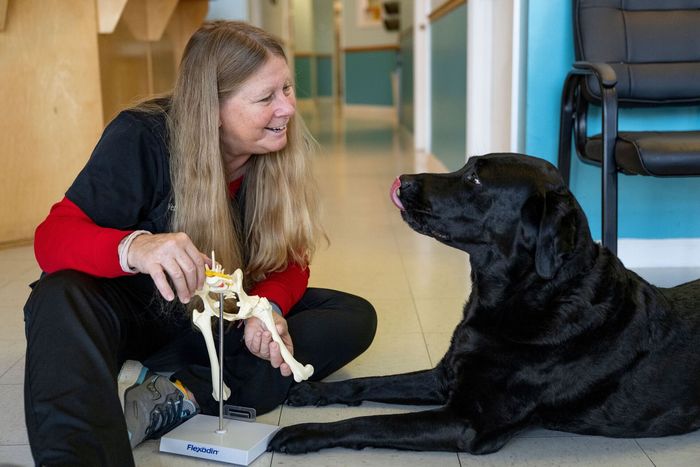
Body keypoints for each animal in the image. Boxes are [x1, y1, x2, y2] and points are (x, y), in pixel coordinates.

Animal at [266, 155, 700, 456]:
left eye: (474, 178)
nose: (403, 180)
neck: (529, 294)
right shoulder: (444, 376)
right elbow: (367, 384)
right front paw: (314, 391)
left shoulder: (466, 421)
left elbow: (371, 422)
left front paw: (304, 432)